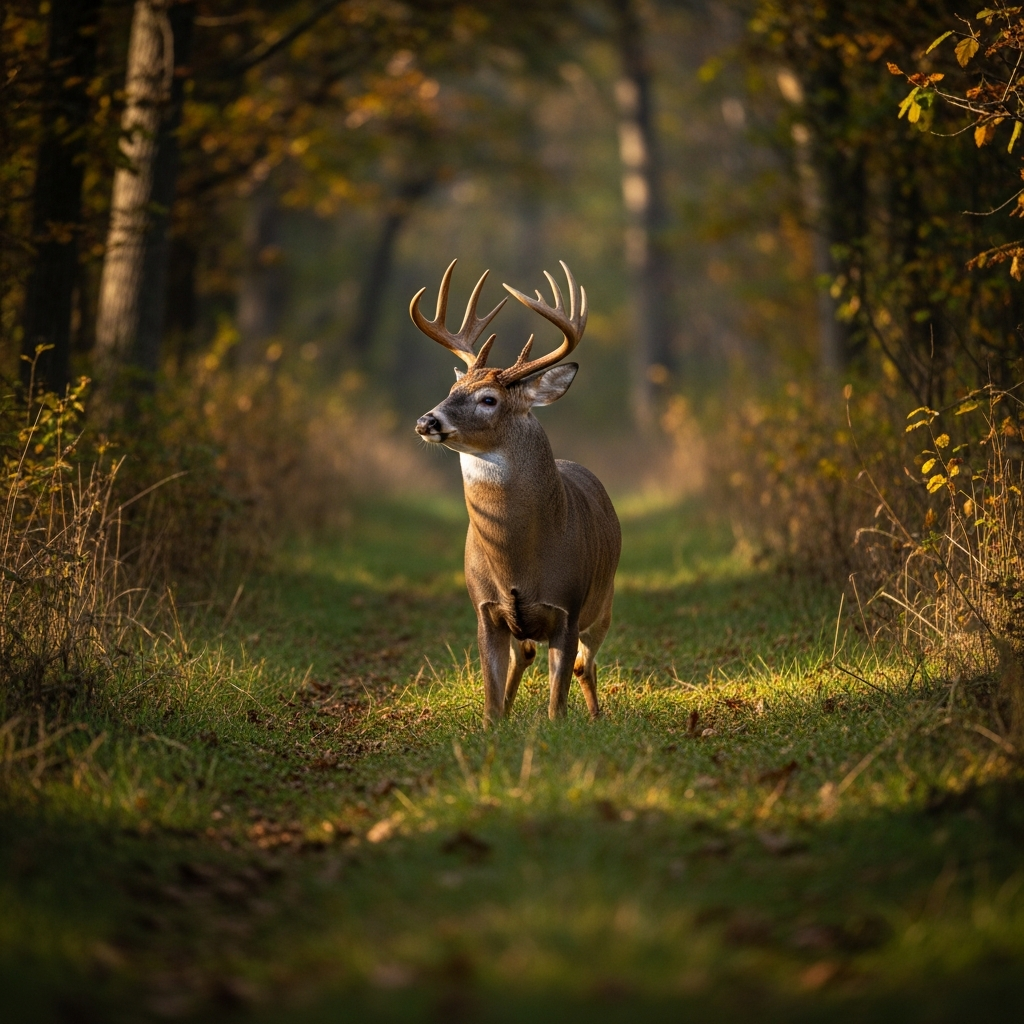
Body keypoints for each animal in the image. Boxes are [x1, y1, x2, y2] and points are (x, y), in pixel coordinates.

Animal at [412, 259, 621, 727]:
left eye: (489, 399)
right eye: (452, 391)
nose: (426, 421)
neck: (517, 560)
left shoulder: (568, 607)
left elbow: (558, 698)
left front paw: (558, 727)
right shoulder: (485, 608)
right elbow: (490, 694)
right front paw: (495, 723)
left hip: (605, 601)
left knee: (585, 664)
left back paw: (596, 716)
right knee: (524, 654)